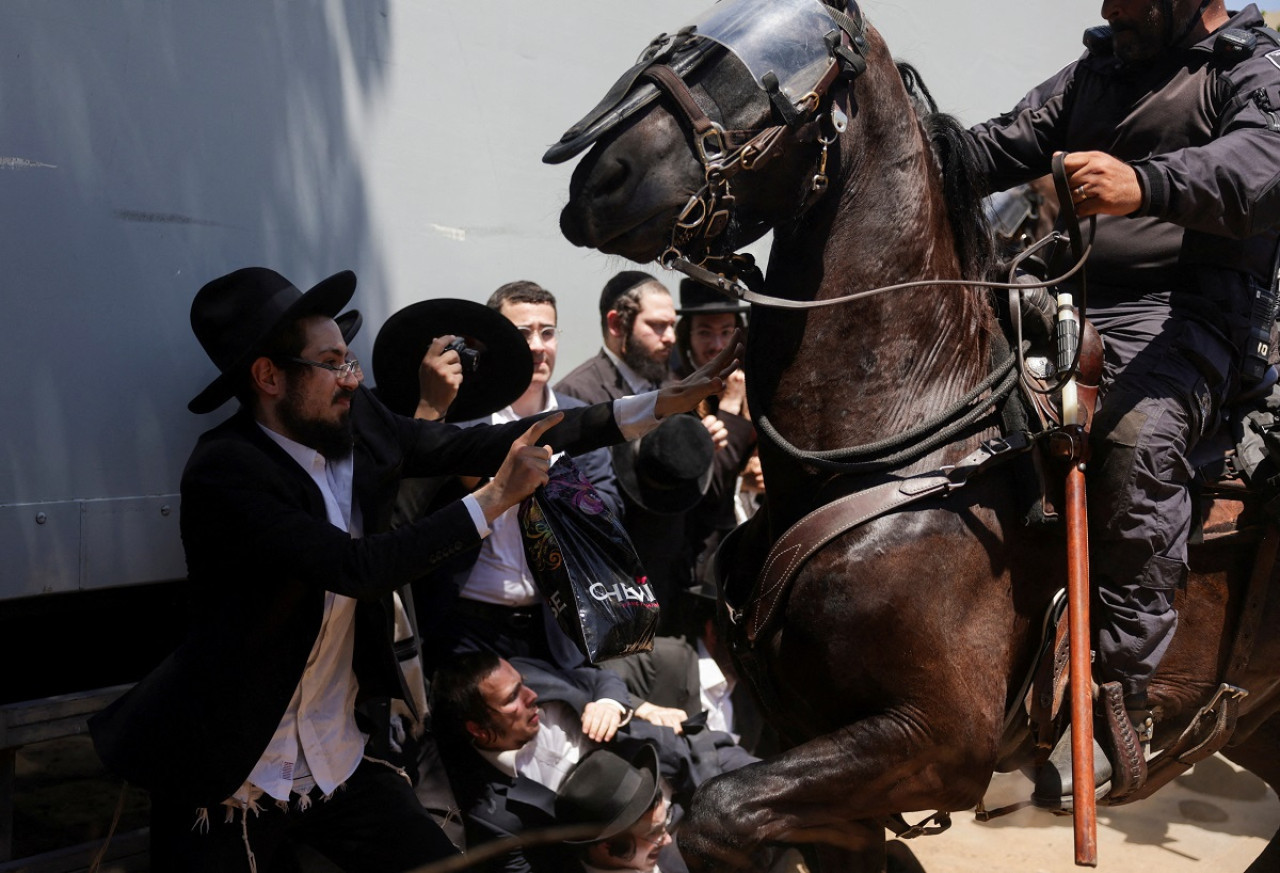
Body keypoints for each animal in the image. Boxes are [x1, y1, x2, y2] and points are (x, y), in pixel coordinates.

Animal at [542, 3, 1280, 865]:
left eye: (773, 73)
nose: (603, 180)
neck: (911, 437)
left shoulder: (933, 737)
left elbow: (717, 810)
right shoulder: (812, 739)